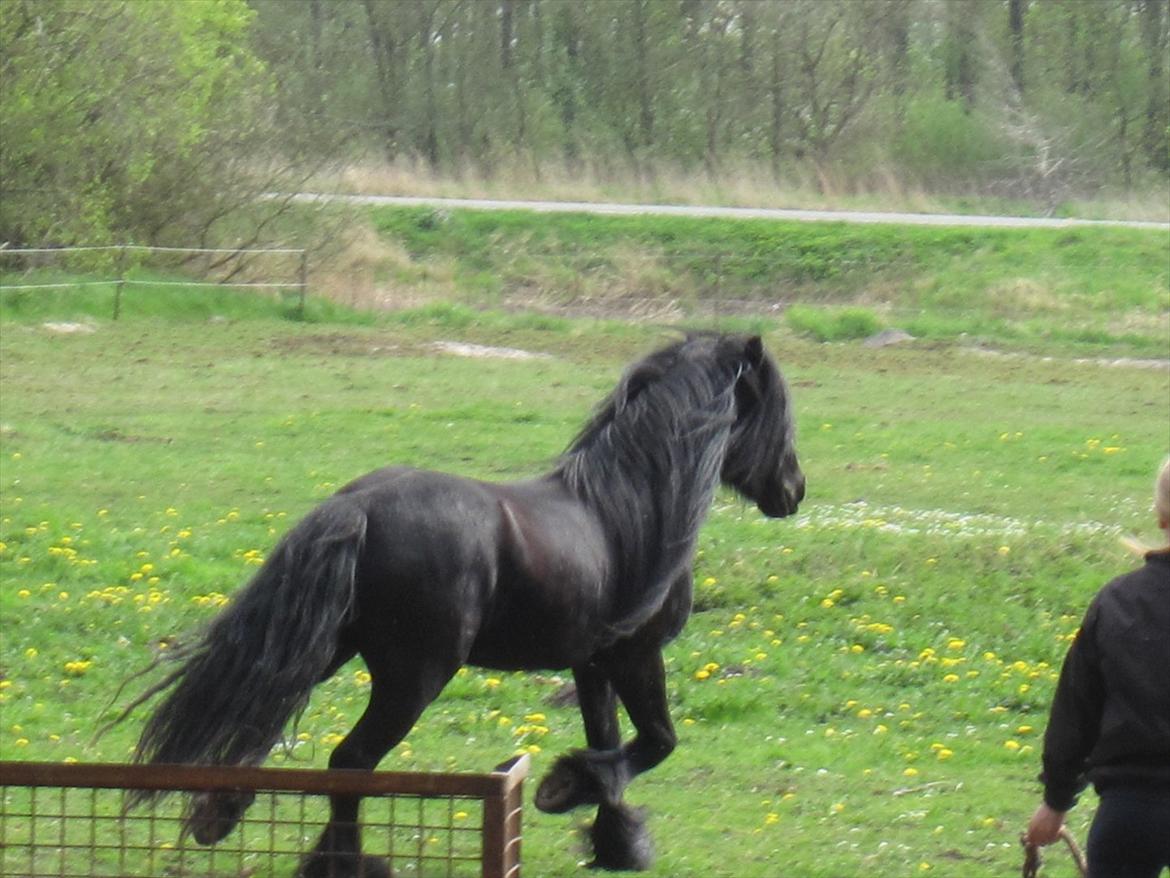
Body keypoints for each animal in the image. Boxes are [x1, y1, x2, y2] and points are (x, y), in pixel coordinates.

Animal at [130, 332, 805, 876]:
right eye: (777, 411)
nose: (794, 490)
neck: (625, 513)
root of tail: (359, 508)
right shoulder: (635, 655)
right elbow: (656, 742)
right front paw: (561, 789)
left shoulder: (591, 664)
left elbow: (609, 744)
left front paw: (615, 842)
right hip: (414, 677)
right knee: (350, 761)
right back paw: (345, 864)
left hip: (327, 647)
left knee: (261, 712)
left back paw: (220, 812)